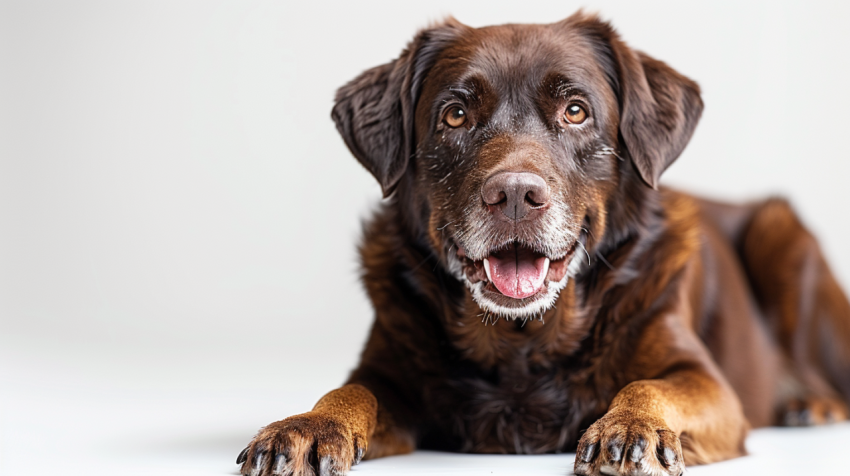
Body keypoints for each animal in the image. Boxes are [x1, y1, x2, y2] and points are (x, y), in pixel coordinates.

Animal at [235, 11, 848, 476]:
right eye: (454, 115)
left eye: (575, 111)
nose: (514, 195)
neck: (521, 343)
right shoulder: (387, 371)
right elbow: (349, 393)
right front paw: (308, 425)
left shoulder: (708, 383)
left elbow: (651, 386)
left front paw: (633, 424)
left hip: (781, 236)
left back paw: (810, 403)